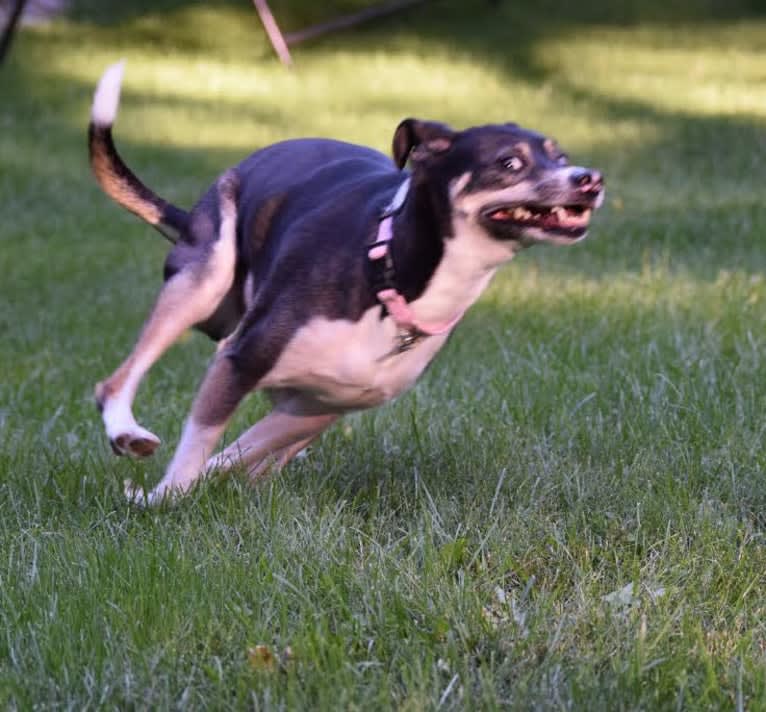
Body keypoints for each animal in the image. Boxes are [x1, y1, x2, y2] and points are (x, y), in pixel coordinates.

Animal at [90, 61, 608, 506]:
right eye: (509, 163)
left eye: (560, 156)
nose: (590, 179)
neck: (390, 273)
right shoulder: (242, 360)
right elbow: (198, 446)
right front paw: (163, 499)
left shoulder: (322, 404)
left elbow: (239, 453)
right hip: (204, 276)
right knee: (115, 382)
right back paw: (125, 431)